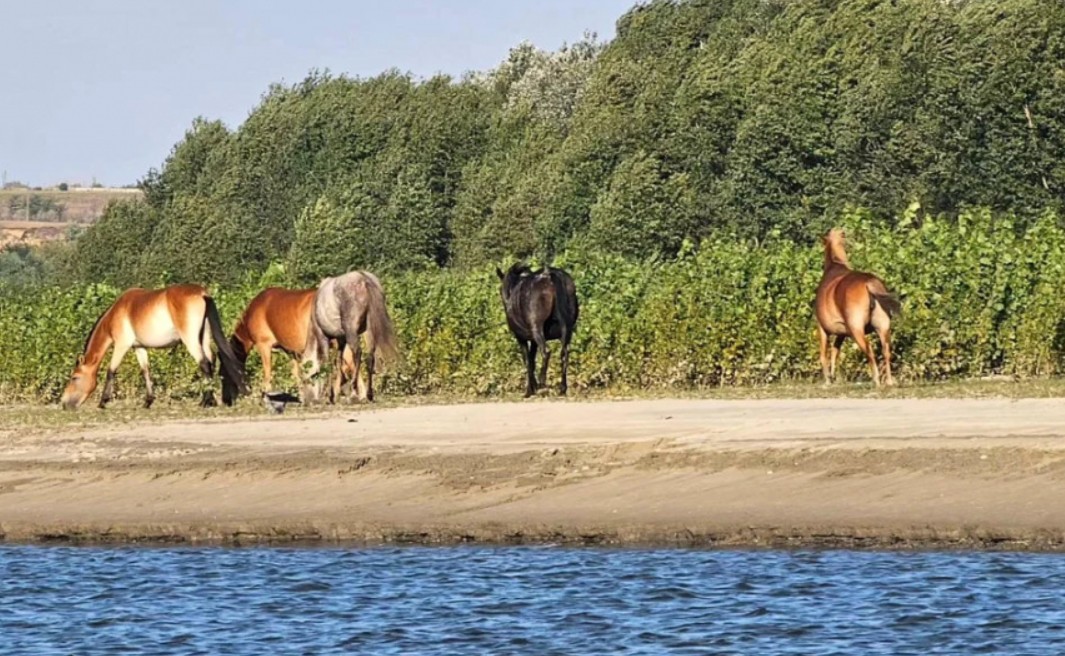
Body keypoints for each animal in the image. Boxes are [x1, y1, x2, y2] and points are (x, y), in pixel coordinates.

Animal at [60, 283, 247, 406]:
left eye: (74, 377)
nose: (64, 403)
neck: (117, 312)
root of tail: (202, 294)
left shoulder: (121, 345)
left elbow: (111, 370)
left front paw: (103, 401)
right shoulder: (139, 348)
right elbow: (146, 371)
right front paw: (148, 401)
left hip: (191, 340)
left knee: (204, 364)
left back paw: (206, 401)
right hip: (204, 337)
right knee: (211, 360)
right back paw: (210, 399)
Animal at [310, 269, 402, 402]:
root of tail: (363, 279)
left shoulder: (323, 337)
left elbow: (328, 363)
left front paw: (331, 395)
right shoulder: (341, 339)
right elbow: (339, 361)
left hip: (351, 332)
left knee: (358, 353)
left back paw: (353, 390)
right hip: (368, 331)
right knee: (370, 357)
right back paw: (369, 394)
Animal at [494, 260, 579, 394]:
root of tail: (550, 276)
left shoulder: (521, 338)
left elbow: (527, 361)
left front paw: (529, 389)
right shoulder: (533, 341)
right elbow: (532, 360)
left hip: (537, 330)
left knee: (546, 352)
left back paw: (542, 381)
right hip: (567, 330)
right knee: (564, 354)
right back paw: (562, 388)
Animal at [813, 228, 898, 387]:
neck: (834, 264)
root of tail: (869, 283)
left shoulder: (822, 329)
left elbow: (823, 355)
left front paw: (827, 380)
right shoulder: (841, 333)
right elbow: (835, 352)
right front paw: (834, 377)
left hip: (856, 329)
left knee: (869, 350)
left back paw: (876, 379)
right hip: (883, 327)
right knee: (886, 351)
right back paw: (889, 381)